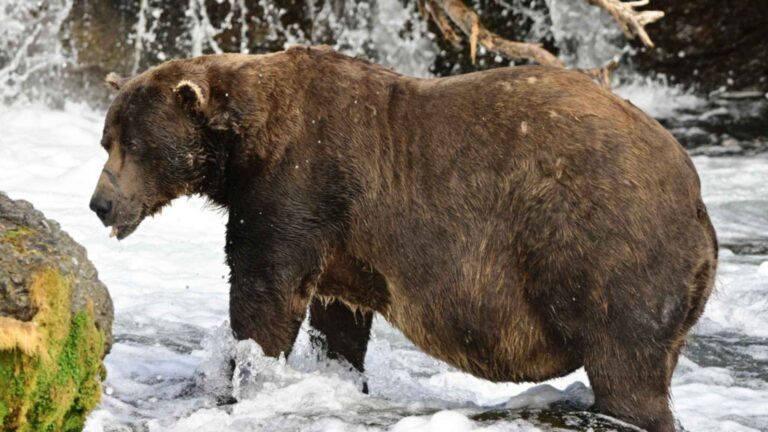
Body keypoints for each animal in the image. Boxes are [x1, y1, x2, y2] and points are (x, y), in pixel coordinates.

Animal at [89, 45, 717, 432]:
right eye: (107, 139)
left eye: (135, 144)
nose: (100, 204)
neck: (247, 146)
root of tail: (695, 196)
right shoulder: (342, 238)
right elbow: (338, 319)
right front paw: (338, 374)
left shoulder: (300, 183)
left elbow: (263, 295)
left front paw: (238, 378)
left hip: (606, 245)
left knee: (626, 365)